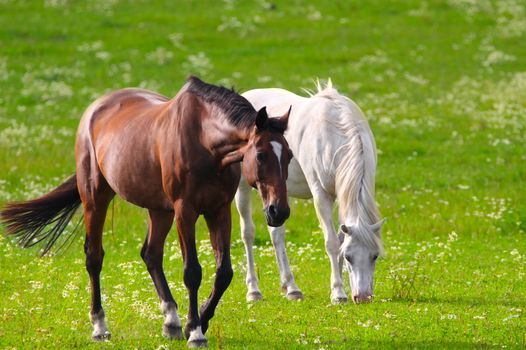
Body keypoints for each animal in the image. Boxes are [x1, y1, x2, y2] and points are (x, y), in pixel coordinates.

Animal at [0, 76, 292, 348]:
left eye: (288, 155)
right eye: (261, 155)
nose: (279, 212)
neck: (204, 141)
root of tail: (95, 109)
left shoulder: (218, 210)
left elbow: (224, 273)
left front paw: (197, 321)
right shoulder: (185, 210)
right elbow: (192, 272)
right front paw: (196, 332)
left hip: (159, 210)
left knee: (151, 254)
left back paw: (171, 321)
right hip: (96, 198)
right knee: (94, 257)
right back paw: (100, 327)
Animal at [237, 81, 386, 304]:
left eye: (375, 255)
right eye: (349, 256)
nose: (363, 297)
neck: (334, 133)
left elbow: (340, 238)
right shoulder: (321, 195)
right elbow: (332, 243)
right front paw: (338, 292)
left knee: (277, 234)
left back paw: (291, 287)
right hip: (243, 187)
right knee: (248, 233)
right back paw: (254, 290)